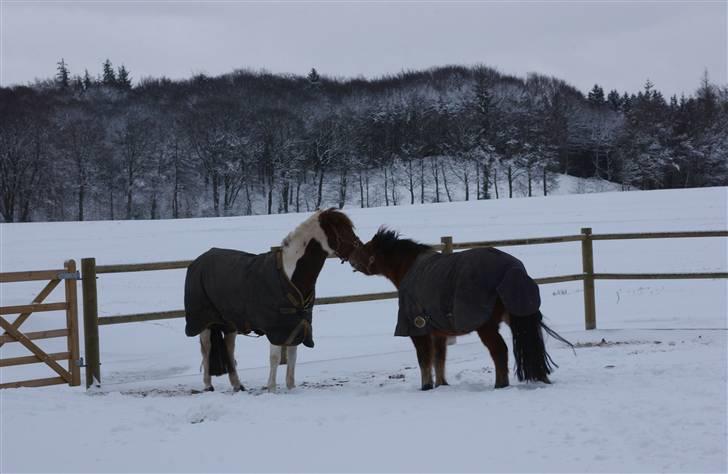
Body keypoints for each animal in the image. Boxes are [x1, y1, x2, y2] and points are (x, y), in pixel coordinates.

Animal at [185, 208, 362, 392]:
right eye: (341, 229)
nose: (360, 252)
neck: (290, 273)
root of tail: (198, 261)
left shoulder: (295, 326)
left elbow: (292, 356)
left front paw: (291, 387)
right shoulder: (276, 327)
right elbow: (275, 357)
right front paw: (271, 388)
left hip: (229, 323)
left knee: (229, 349)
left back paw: (237, 385)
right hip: (205, 322)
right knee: (206, 349)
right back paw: (208, 385)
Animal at [350, 229, 572, 388]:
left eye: (366, 249)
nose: (350, 259)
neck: (411, 269)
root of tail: (512, 270)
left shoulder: (418, 330)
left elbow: (424, 360)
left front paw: (426, 387)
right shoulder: (438, 333)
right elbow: (439, 360)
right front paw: (442, 385)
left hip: (487, 327)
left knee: (500, 351)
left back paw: (500, 385)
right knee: (533, 345)